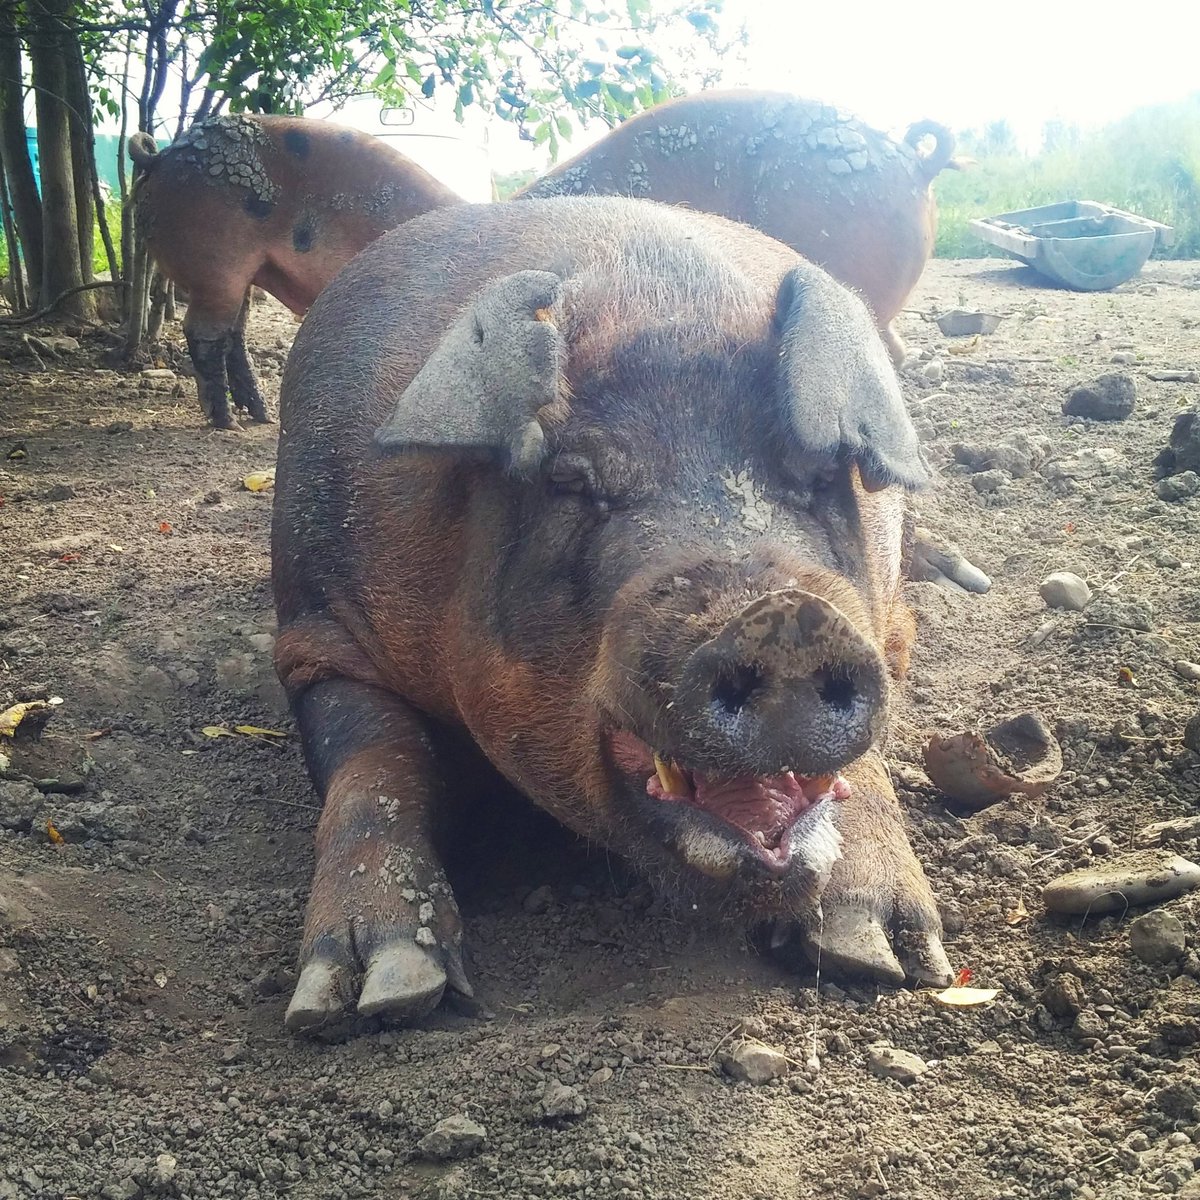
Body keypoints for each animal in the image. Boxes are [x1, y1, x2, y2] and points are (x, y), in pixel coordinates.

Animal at [128, 114, 461, 430]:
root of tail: (159, 157)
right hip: (216, 266)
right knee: (204, 333)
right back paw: (230, 424)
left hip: (242, 275)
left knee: (234, 334)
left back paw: (262, 416)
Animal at [271, 195, 954, 1033]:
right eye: (570, 480)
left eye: (821, 475)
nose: (785, 617)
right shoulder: (315, 633)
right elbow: (379, 761)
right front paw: (378, 995)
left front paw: (884, 957)